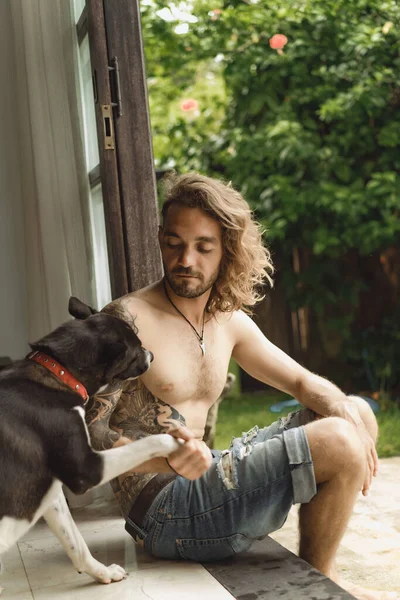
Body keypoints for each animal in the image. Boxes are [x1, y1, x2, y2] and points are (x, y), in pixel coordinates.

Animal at [0, 296, 179, 592]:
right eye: (137, 349)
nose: (152, 355)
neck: (58, 373)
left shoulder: (51, 492)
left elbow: (75, 541)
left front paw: (102, 573)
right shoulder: (86, 468)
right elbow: (146, 443)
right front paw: (176, 442)